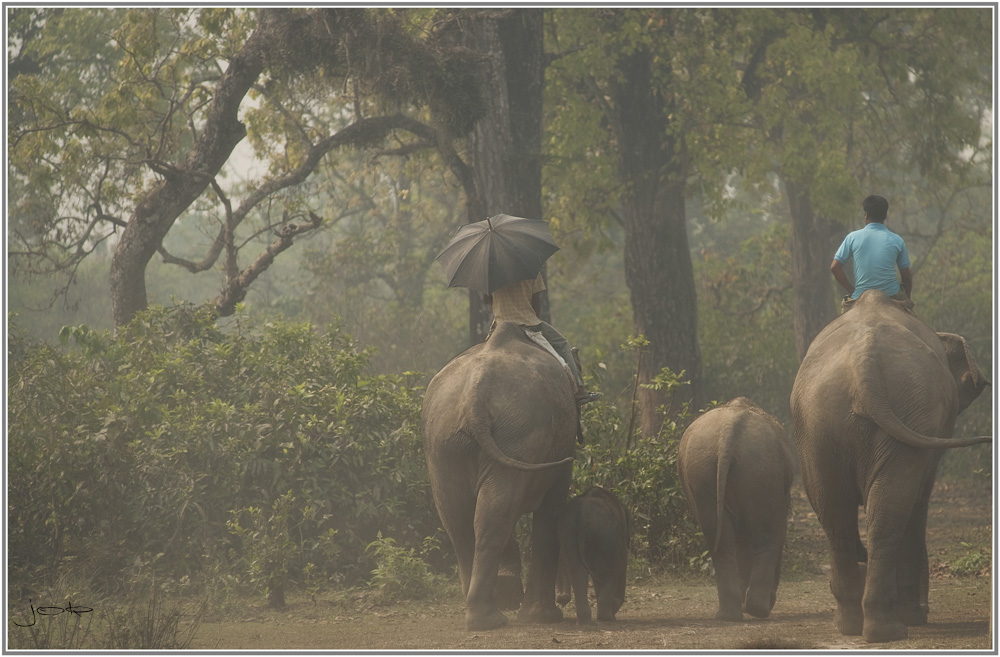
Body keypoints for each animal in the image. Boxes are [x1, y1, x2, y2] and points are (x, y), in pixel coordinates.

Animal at [422, 320, 580, 628]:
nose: (564, 597)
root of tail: (475, 395)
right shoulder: (561, 448)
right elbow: (553, 503)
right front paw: (543, 616)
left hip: (444, 441)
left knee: (457, 516)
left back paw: (479, 614)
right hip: (518, 431)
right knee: (495, 510)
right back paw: (493, 617)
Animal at [552, 484, 628, 624]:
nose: (561, 598)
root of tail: (583, 513)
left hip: (569, 531)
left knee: (578, 570)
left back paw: (586, 620)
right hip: (603, 536)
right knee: (612, 571)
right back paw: (605, 618)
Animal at [676, 394, 792, 620]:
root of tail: (728, 435)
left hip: (710, 469)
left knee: (720, 538)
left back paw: (729, 614)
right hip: (761, 469)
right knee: (770, 534)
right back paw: (758, 610)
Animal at [788, 290, 992, 640]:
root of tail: (864, 367)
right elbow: (919, 500)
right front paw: (917, 615)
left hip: (819, 425)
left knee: (837, 515)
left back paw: (852, 625)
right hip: (903, 414)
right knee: (893, 509)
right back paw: (893, 627)